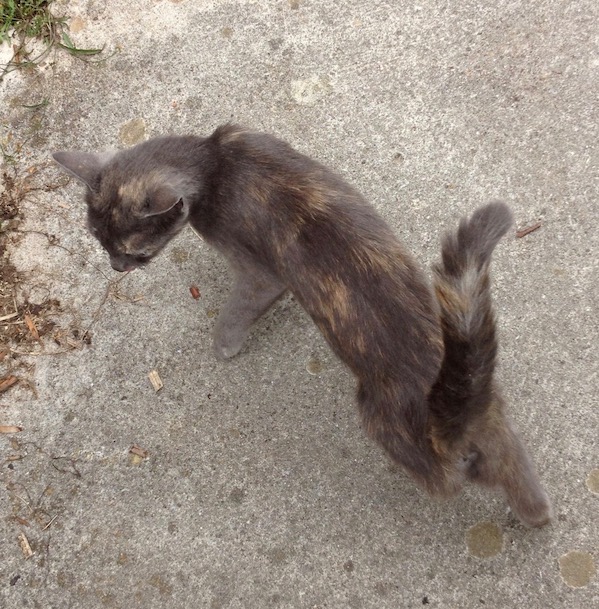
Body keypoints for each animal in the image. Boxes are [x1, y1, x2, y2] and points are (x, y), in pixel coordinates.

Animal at [52, 124, 552, 527]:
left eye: (135, 252)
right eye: (98, 241)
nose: (115, 268)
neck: (215, 162)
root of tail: (455, 413)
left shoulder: (258, 271)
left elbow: (241, 307)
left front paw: (224, 344)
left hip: (386, 424)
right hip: (498, 426)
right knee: (518, 473)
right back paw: (536, 516)